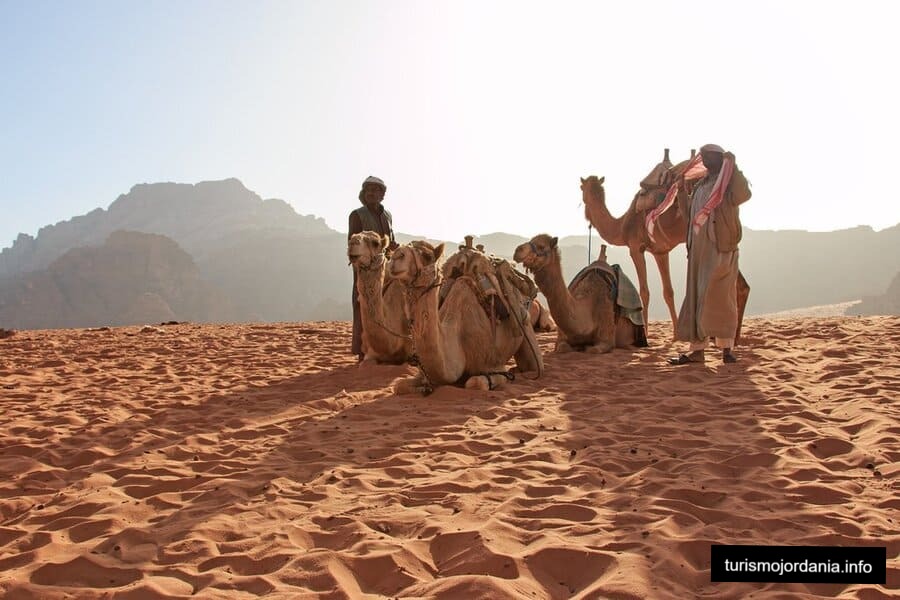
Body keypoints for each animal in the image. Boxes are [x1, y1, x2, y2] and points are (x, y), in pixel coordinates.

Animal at [386, 239, 540, 394]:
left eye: (427, 256)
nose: (397, 255)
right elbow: (399, 385)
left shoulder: (494, 364)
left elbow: (475, 383)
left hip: (525, 322)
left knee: (533, 364)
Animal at [512, 234, 640, 354]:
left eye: (541, 246)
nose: (518, 250)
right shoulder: (561, 338)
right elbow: (562, 347)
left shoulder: (607, 336)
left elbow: (593, 349)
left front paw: (585, 347)